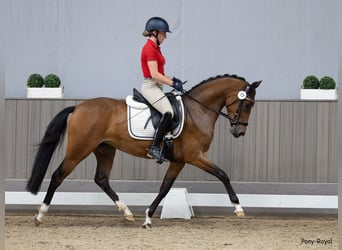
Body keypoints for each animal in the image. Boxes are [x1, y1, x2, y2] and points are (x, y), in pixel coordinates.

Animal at [26, 73, 262, 228]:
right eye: (248, 103)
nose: (239, 131)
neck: (198, 110)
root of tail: (78, 107)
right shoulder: (194, 156)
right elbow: (223, 174)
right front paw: (238, 208)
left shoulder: (179, 160)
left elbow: (165, 187)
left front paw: (148, 217)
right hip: (79, 150)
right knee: (58, 176)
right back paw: (40, 215)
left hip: (105, 150)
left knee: (101, 179)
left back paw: (127, 213)